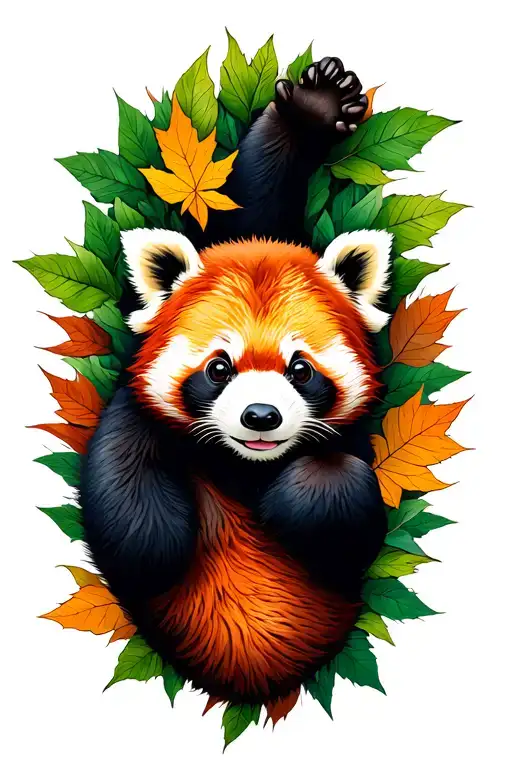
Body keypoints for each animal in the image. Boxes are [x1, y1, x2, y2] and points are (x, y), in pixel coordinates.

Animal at [81, 56, 393, 706]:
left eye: (301, 369)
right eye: (218, 368)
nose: (260, 417)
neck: (245, 469)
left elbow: (344, 505)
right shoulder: (131, 414)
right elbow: (130, 505)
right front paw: (312, 107)